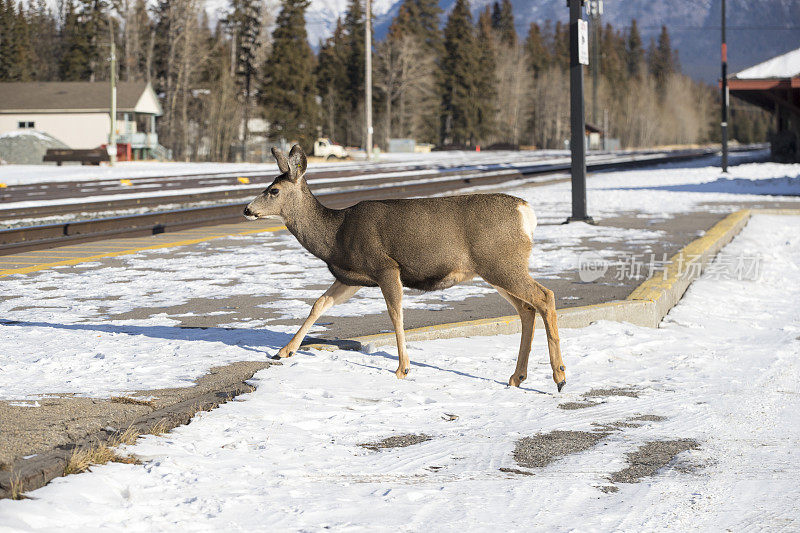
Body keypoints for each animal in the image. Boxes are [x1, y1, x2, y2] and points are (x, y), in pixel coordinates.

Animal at [245, 144, 568, 390]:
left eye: (273, 190)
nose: (247, 209)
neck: (335, 235)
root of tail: (527, 213)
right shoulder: (352, 277)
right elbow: (319, 304)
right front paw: (283, 351)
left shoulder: (385, 266)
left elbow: (395, 314)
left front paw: (403, 368)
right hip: (496, 268)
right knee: (526, 308)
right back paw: (517, 377)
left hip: (501, 262)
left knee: (544, 296)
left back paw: (559, 377)